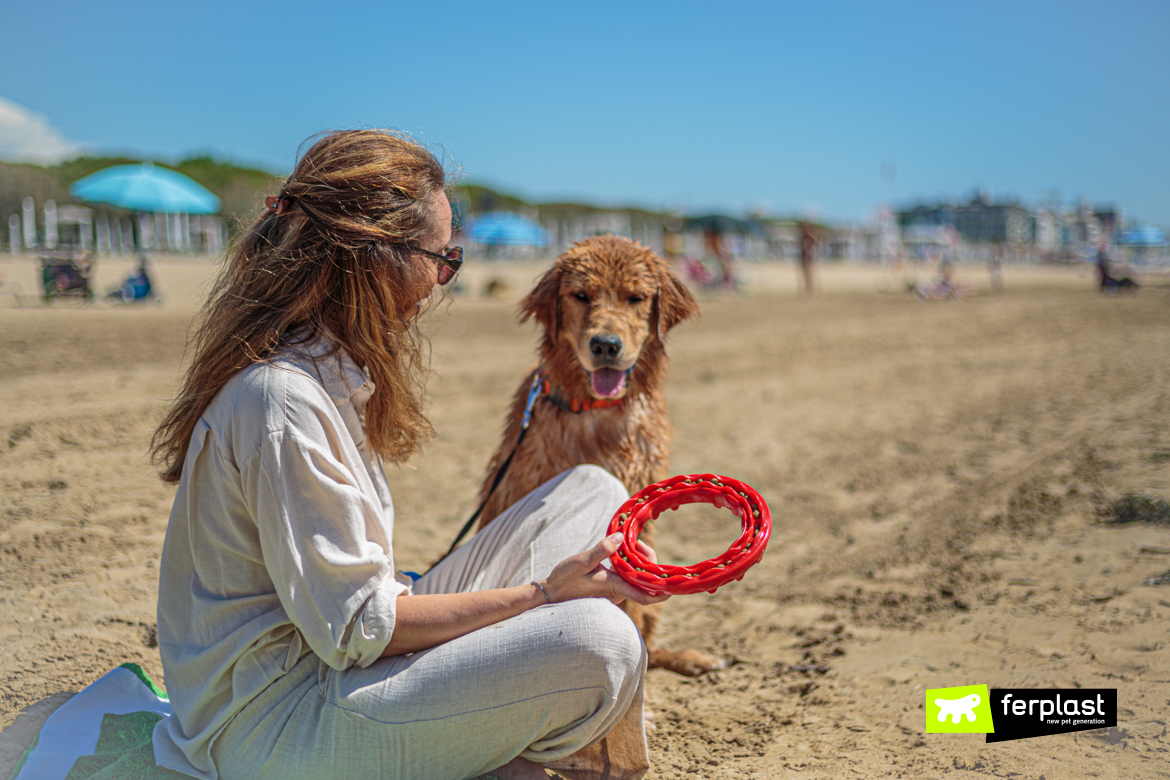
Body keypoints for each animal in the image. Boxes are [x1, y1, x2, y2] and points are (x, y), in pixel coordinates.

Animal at [470, 235, 716, 673]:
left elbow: (632, 612)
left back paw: (688, 659)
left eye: (636, 297)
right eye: (581, 295)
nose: (605, 345)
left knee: (651, 642)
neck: (596, 411)